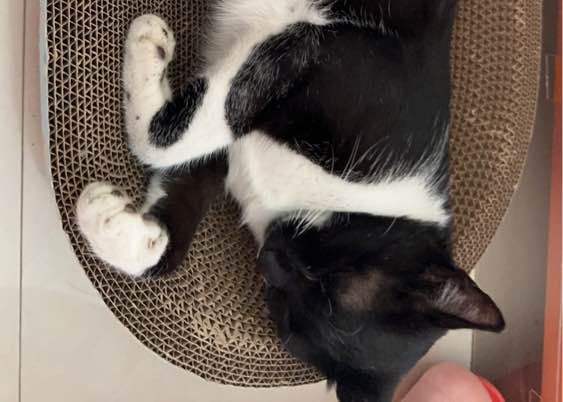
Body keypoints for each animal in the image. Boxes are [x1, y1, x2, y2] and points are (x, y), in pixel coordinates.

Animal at [75, 1, 505, 401]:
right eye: (330, 275)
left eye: (282, 308)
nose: (270, 256)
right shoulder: (320, 52)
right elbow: (192, 127)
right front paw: (149, 43)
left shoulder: (228, 152)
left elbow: (178, 191)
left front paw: (110, 223)